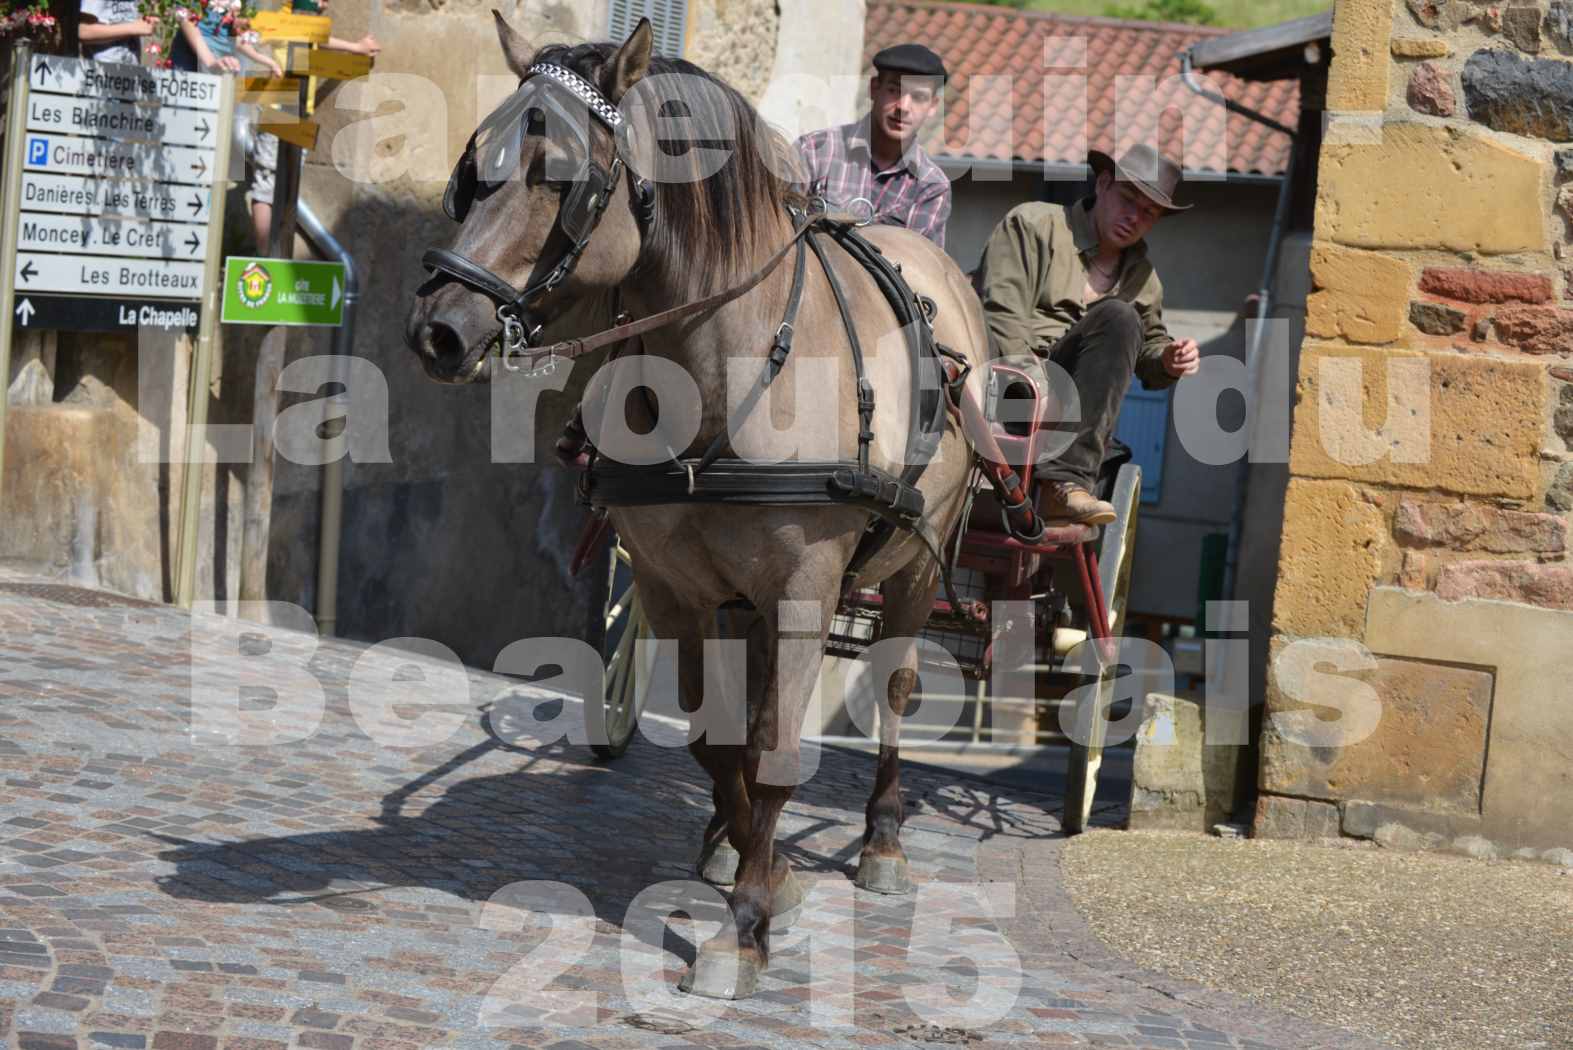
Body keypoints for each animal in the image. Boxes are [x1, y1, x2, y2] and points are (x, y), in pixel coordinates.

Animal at [405, 16, 994, 999]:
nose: (438, 331)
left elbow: (779, 751)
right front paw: (763, 868)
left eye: (563, 178)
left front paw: (744, 930)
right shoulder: (673, 587)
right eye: (473, 167)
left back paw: (880, 839)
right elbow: (716, 741)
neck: (729, 366)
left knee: (895, 689)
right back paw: (729, 839)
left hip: (918, 560)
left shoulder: (803, 589)